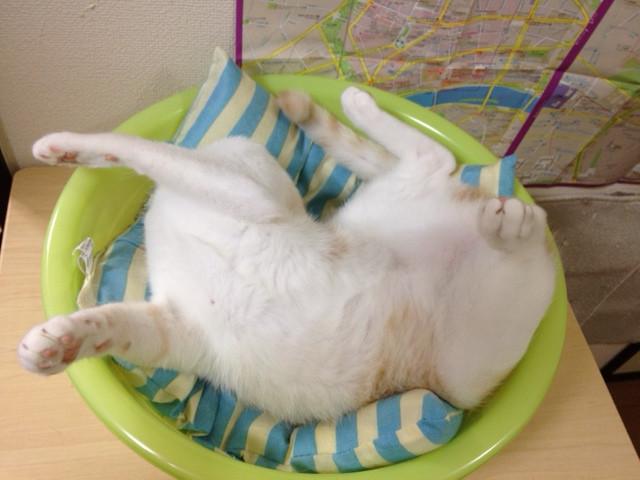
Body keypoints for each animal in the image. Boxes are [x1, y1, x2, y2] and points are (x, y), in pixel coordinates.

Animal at [18, 87, 556, 424]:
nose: (229, 150)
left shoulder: (245, 196)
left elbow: (143, 150)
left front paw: (71, 145)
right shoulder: (177, 326)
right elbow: (113, 324)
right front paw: (58, 344)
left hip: (469, 361)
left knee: (503, 213)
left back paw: (512, 223)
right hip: (383, 210)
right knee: (433, 160)